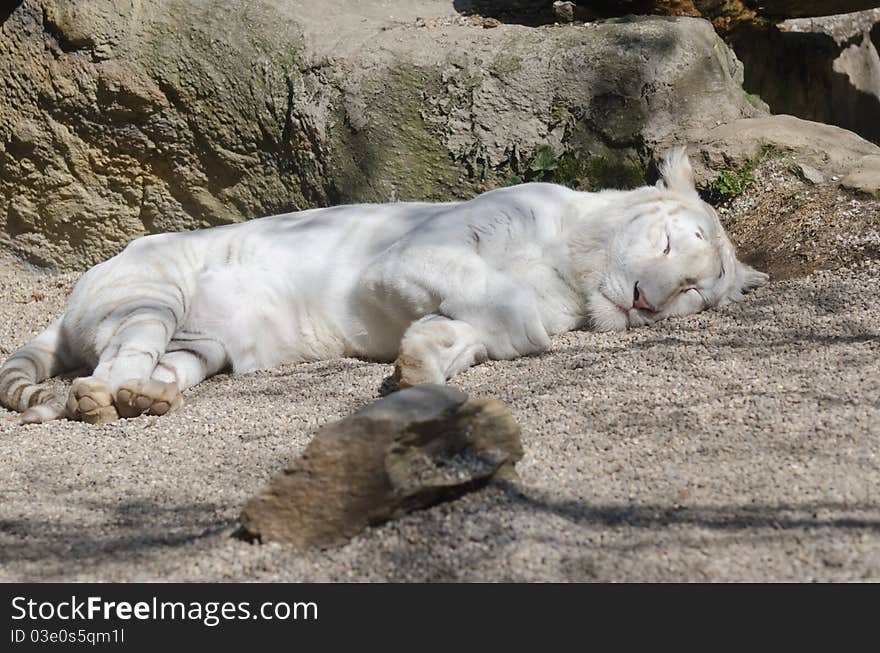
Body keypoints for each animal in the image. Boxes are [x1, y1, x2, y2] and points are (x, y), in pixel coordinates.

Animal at [0, 147, 768, 422]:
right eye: (665, 247)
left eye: (693, 292)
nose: (645, 299)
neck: (572, 271)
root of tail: (77, 292)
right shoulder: (414, 253)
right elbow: (507, 308)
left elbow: (466, 334)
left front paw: (415, 368)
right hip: (149, 295)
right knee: (111, 359)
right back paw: (101, 400)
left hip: (199, 347)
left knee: (156, 366)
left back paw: (145, 398)